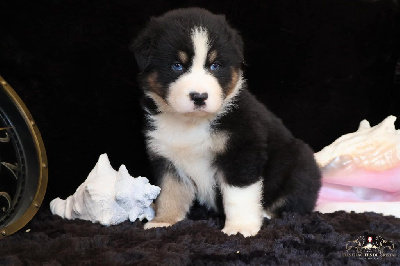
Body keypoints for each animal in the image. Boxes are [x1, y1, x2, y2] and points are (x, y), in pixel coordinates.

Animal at [133, 7, 320, 237]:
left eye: (215, 65)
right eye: (177, 66)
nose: (199, 97)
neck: (191, 123)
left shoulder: (241, 151)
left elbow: (239, 195)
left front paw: (240, 228)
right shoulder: (166, 156)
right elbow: (170, 191)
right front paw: (163, 221)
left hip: (300, 165)